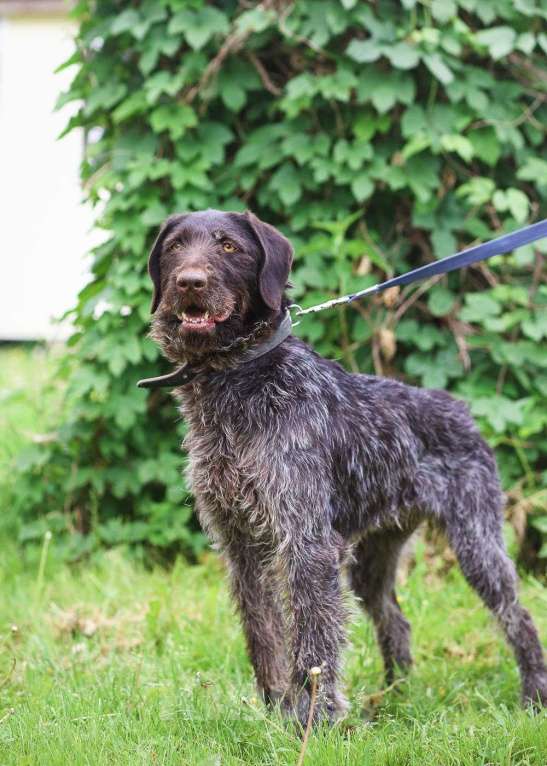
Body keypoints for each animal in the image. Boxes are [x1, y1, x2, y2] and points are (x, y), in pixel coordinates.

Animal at [147, 210, 547, 728]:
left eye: (229, 246)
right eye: (175, 246)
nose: (189, 281)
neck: (237, 382)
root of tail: (460, 409)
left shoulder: (306, 540)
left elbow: (314, 641)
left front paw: (314, 722)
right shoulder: (241, 544)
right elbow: (264, 634)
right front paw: (275, 711)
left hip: (476, 542)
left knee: (517, 615)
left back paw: (533, 695)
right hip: (375, 557)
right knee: (395, 619)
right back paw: (395, 697)